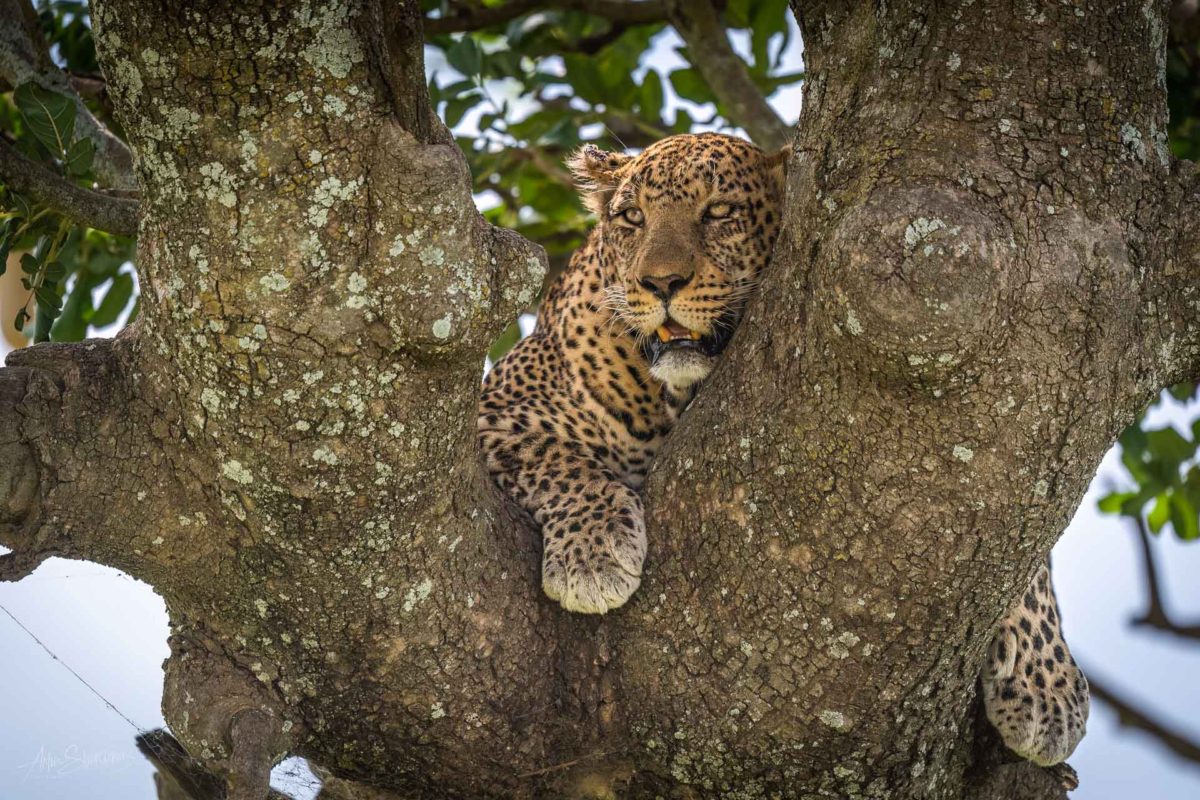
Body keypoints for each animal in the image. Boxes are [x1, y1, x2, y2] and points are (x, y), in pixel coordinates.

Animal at [475, 131, 1089, 777]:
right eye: (632, 218)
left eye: (719, 211)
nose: (659, 283)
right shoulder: (495, 408)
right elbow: (559, 462)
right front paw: (591, 557)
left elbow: (1030, 557)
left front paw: (1048, 685)